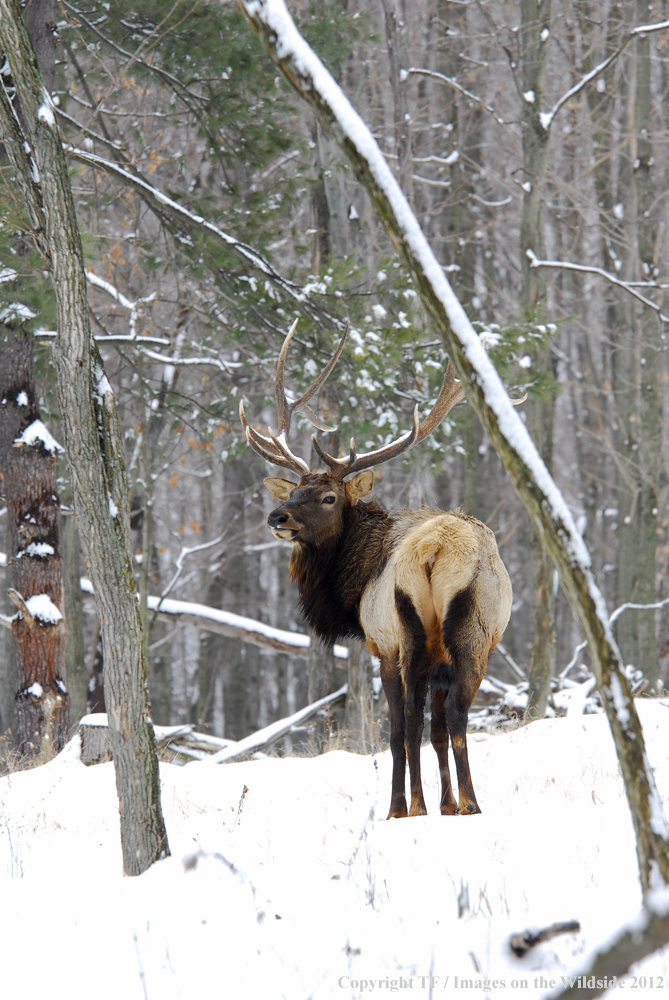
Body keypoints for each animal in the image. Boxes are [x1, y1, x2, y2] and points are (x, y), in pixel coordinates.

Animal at [240, 324, 512, 816]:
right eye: (296, 491)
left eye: (329, 497)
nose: (277, 517)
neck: (351, 584)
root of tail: (438, 551)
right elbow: (437, 731)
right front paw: (445, 804)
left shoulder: (381, 646)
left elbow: (399, 731)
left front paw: (404, 807)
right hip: (475, 637)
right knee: (455, 716)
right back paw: (467, 803)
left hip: (410, 634)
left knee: (411, 723)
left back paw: (418, 806)